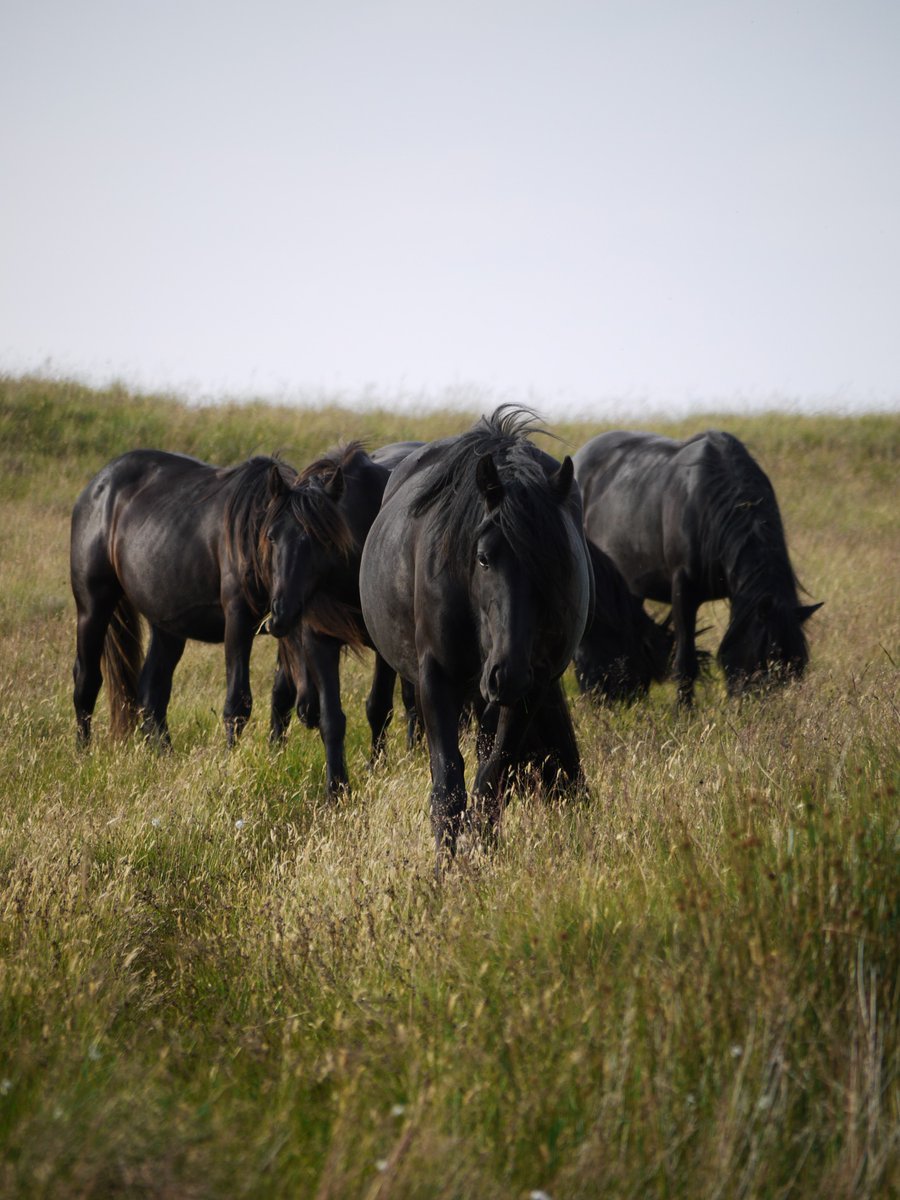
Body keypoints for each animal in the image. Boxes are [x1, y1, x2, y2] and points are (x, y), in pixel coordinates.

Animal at [70, 449, 311, 748]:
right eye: (271, 536)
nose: (284, 609)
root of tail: (98, 486)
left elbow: (282, 697)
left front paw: (275, 753)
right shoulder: (238, 622)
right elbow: (238, 702)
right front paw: (229, 756)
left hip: (166, 624)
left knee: (151, 691)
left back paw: (164, 753)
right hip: (92, 607)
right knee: (87, 680)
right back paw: (83, 751)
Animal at [266, 441, 422, 793]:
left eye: (320, 539)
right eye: (271, 536)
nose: (280, 613)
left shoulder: (384, 649)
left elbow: (379, 707)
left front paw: (377, 766)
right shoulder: (318, 640)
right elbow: (332, 719)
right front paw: (336, 789)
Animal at [359, 407, 593, 867]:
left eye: (557, 566)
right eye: (484, 557)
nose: (508, 674)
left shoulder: (531, 687)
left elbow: (490, 780)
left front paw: (481, 855)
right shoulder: (437, 679)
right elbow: (448, 787)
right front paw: (444, 870)